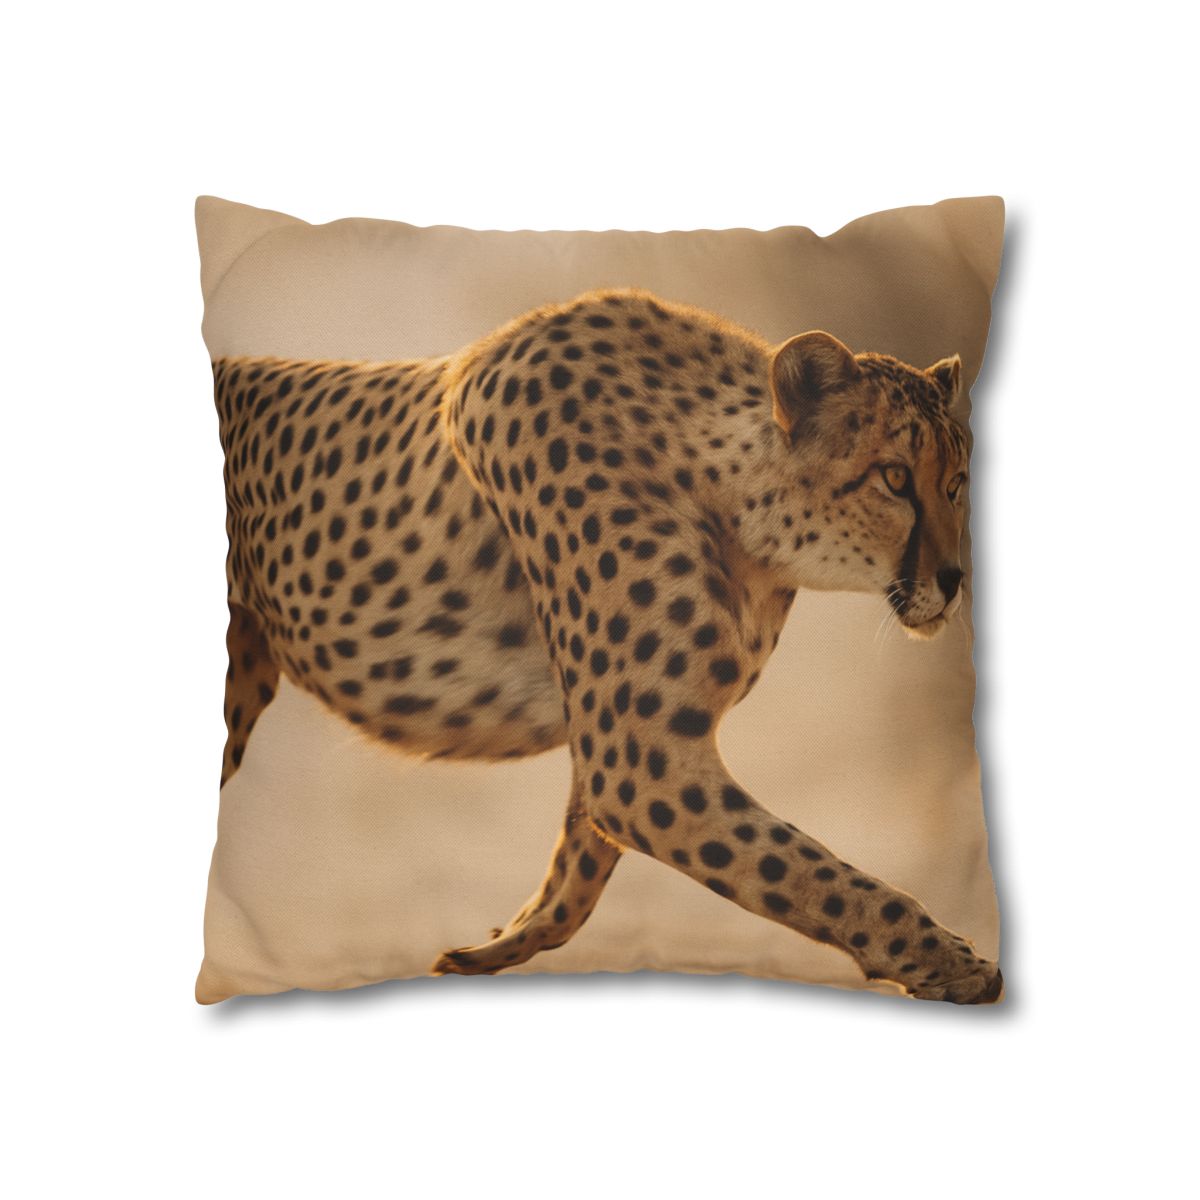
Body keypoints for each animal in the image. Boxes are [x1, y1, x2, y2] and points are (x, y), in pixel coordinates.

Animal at [212, 287, 1002, 1004]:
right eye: (895, 478)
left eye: (959, 483)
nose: (954, 580)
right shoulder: (638, 761)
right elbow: (811, 874)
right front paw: (954, 963)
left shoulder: (622, 743)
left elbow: (580, 868)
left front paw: (492, 947)